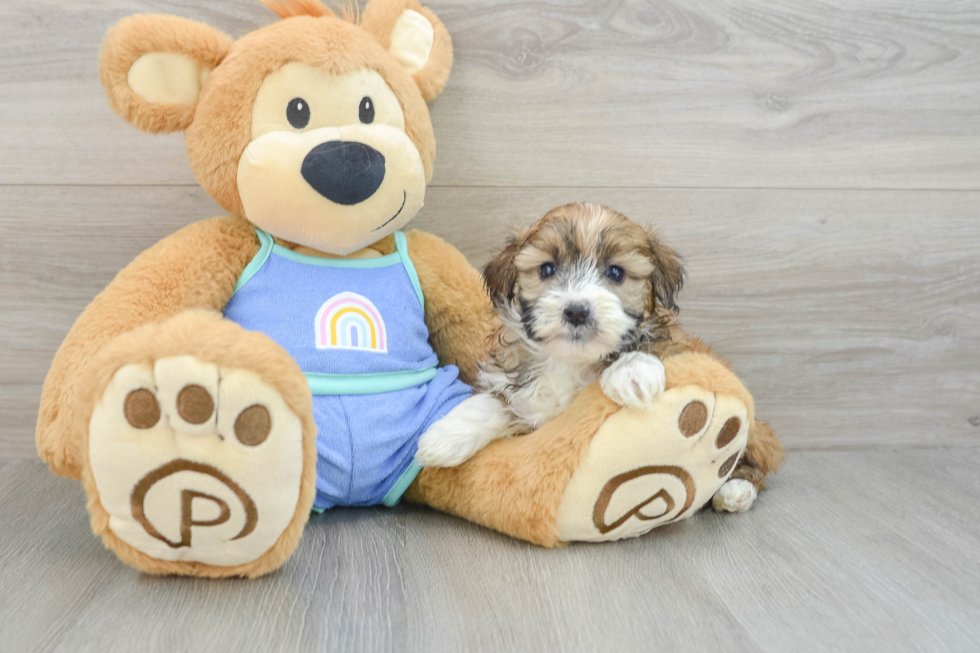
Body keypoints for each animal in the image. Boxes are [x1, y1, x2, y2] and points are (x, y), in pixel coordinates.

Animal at [414, 201, 780, 512]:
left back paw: (735, 491)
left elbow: (653, 348)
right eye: (547, 269)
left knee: (753, 461)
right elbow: (496, 403)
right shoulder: (521, 395)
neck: (570, 360)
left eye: (616, 273)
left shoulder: (678, 346)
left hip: (755, 436)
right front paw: (444, 436)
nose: (577, 310)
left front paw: (632, 373)